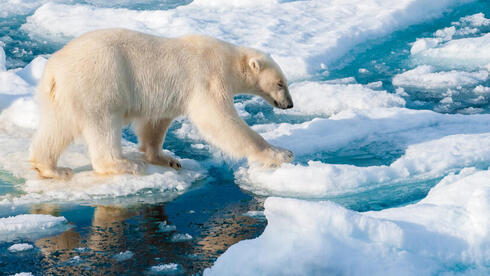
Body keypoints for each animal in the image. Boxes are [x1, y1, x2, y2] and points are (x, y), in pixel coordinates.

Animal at [30, 28, 294, 179]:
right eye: (280, 83)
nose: (289, 105)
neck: (228, 59)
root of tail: (53, 70)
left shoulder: (170, 94)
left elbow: (155, 123)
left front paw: (167, 158)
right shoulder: (207, 77)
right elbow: (219, 120)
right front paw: (281, 153)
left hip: (64, 95)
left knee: (57, 128)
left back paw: (52, 169)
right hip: (99, 83)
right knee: (103, 125)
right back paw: (125, 165)